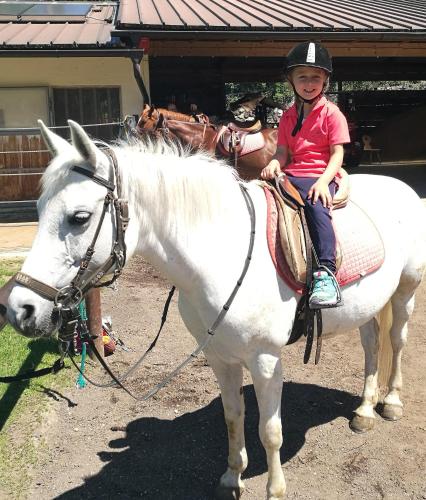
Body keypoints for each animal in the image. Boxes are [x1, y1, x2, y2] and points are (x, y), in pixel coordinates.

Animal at [7, 122, 426, 500]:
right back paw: (364, 410)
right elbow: (233, 416)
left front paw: (275, 490)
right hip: (368, 304)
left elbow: (270, 431)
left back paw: (390, 403)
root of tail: (402, 188)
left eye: (79, 217)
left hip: (405, 290)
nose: (18, 309)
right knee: (371, 344)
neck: (223, 248)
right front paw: (231, 479)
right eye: (39, 209)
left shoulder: (265, 360)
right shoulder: (219, 356)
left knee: (396, 340)